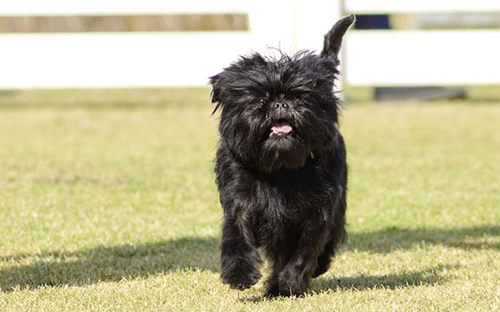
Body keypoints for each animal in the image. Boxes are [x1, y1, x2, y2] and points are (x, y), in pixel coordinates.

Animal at [209, 15, 354, 298]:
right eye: (260, 99)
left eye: (300, 97)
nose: (280, 103)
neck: (279, 168)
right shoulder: (239, 202)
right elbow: (236, 237)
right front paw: (239, 274)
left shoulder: (316, 212)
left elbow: (303, 252)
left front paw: (290, 284)